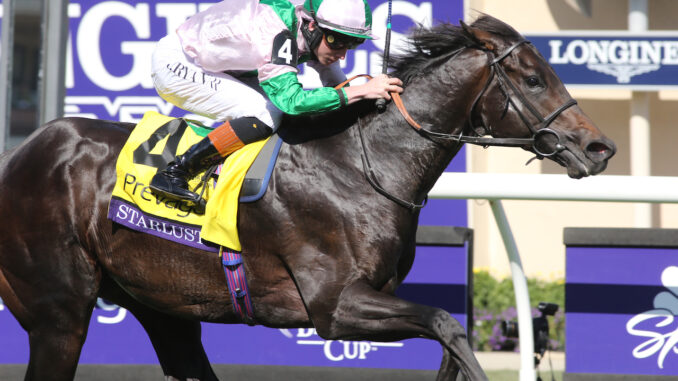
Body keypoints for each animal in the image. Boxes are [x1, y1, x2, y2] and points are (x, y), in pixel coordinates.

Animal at [0, 15, 616, 380]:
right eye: (534, 79)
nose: (600, 147)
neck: (362, 166)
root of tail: (23, 154)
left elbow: (447, 338)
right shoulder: (334, 306)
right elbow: (446, 322)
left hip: (164, 309)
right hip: (59, 315)